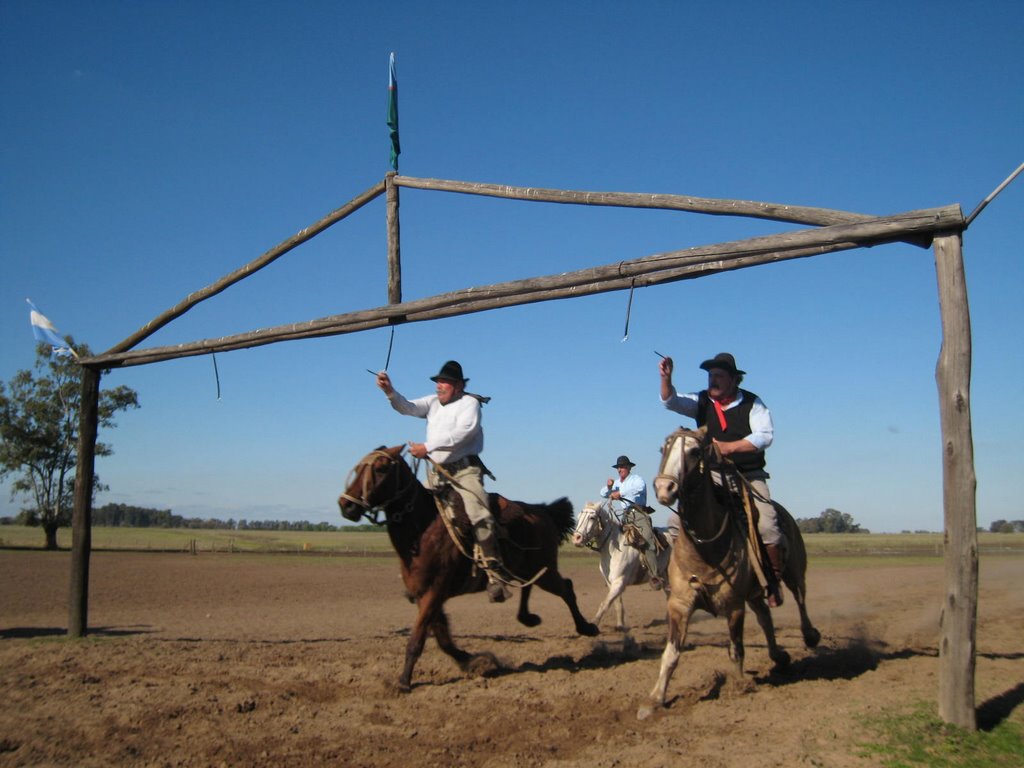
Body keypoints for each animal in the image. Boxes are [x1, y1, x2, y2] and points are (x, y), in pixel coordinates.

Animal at [339, 444, 598, 692]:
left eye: (381, 468)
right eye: (359, 467)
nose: (345, 505)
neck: (423, 529)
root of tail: (542, 511)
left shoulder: (434, 592)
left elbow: (418, 639)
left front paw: (403, 682)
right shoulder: (425, 595)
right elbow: (442, 637)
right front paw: (473, 661)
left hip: (546, 570)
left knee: (566, 588)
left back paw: (587, 627)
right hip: (529, 569)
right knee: (530, 587)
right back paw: (527, 617)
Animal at [569, 499, 671, 630]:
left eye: (592, 517)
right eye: (578, 517)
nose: (576, 538)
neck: (614, 549)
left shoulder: (619, 581)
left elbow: (605, 604)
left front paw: (593, 624)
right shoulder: (611, 582)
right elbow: (617, 604)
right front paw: (620, 625)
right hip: (665, 575)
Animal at [634, 428, 819, 720]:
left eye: (694, 451)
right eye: (663, 449)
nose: (665, 488)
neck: (705, 547)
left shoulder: (734, 607)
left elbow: (736, 650)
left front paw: (740, 686)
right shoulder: (680, 604)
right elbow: (671, 653)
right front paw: (654, 700)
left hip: (793, 572)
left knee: (800, 598)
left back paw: (809, 636)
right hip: (755, 593)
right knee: (765, 617)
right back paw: (778, 657)